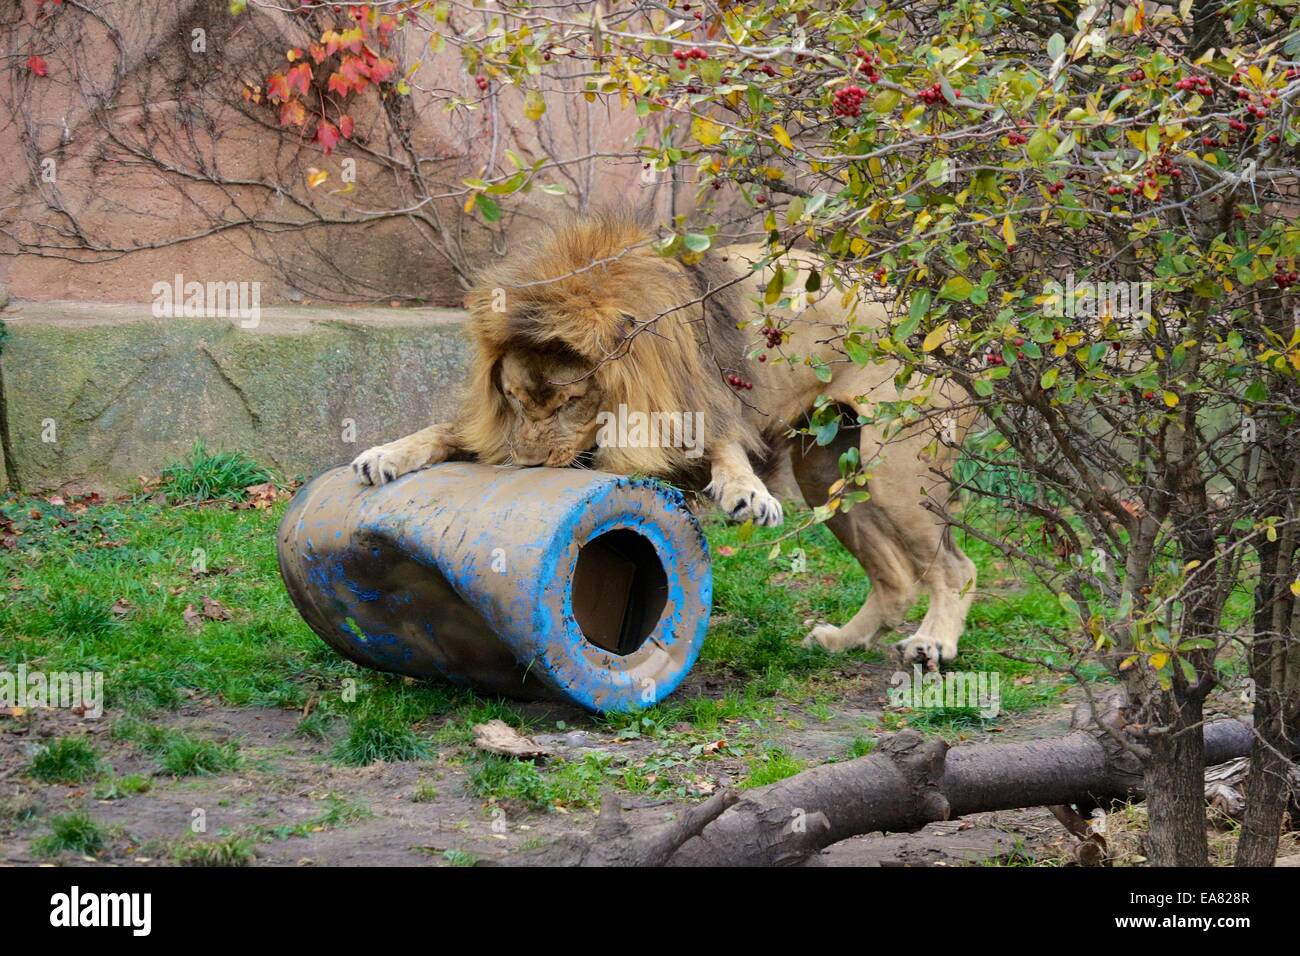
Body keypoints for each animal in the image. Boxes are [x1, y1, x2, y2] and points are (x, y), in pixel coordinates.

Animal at [351, 212, 977, 671]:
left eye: (570, 402)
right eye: (514, 398)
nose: (524, 467)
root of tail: (942, 323)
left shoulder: (702, 407)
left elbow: (724, 450)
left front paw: (747, 495)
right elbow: (447, 431)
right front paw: (383, 455)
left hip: (894, 469)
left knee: (955, 567)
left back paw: (933, 644)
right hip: (826, 473)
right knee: (894, 578)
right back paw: (842, 641)